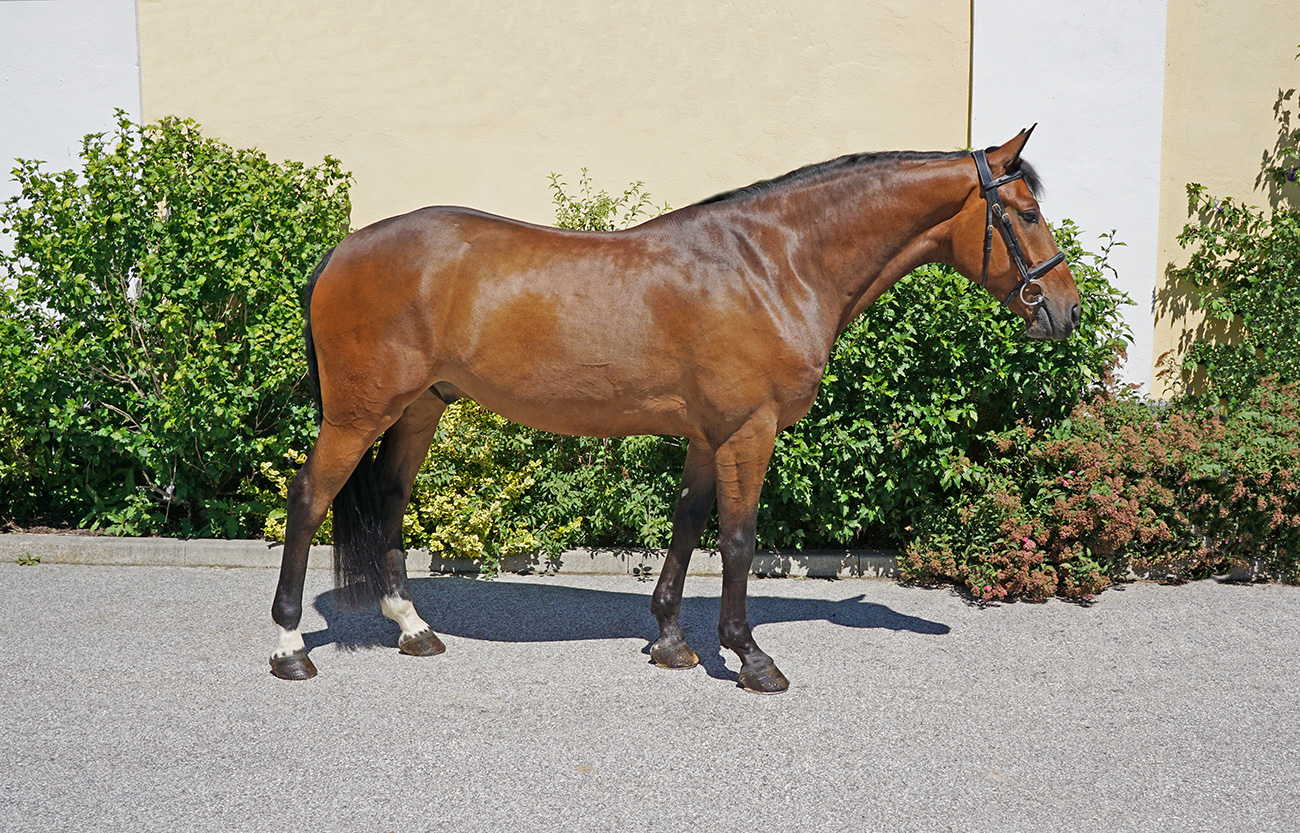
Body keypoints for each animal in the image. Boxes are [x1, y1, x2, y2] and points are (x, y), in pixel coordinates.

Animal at [269, 127, 1080, 693]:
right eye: (1026, 212)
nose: (1066, 311)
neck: (772, 264)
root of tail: (343, 249)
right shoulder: (749, 432)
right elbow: (740, 541)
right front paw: (750, 656)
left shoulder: (707, 435)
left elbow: (688, 526)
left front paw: (670, 641)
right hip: (358, 412)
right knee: (309, 498)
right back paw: (289, 648)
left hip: (417, 410)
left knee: (389, 499)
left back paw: (412, 629)